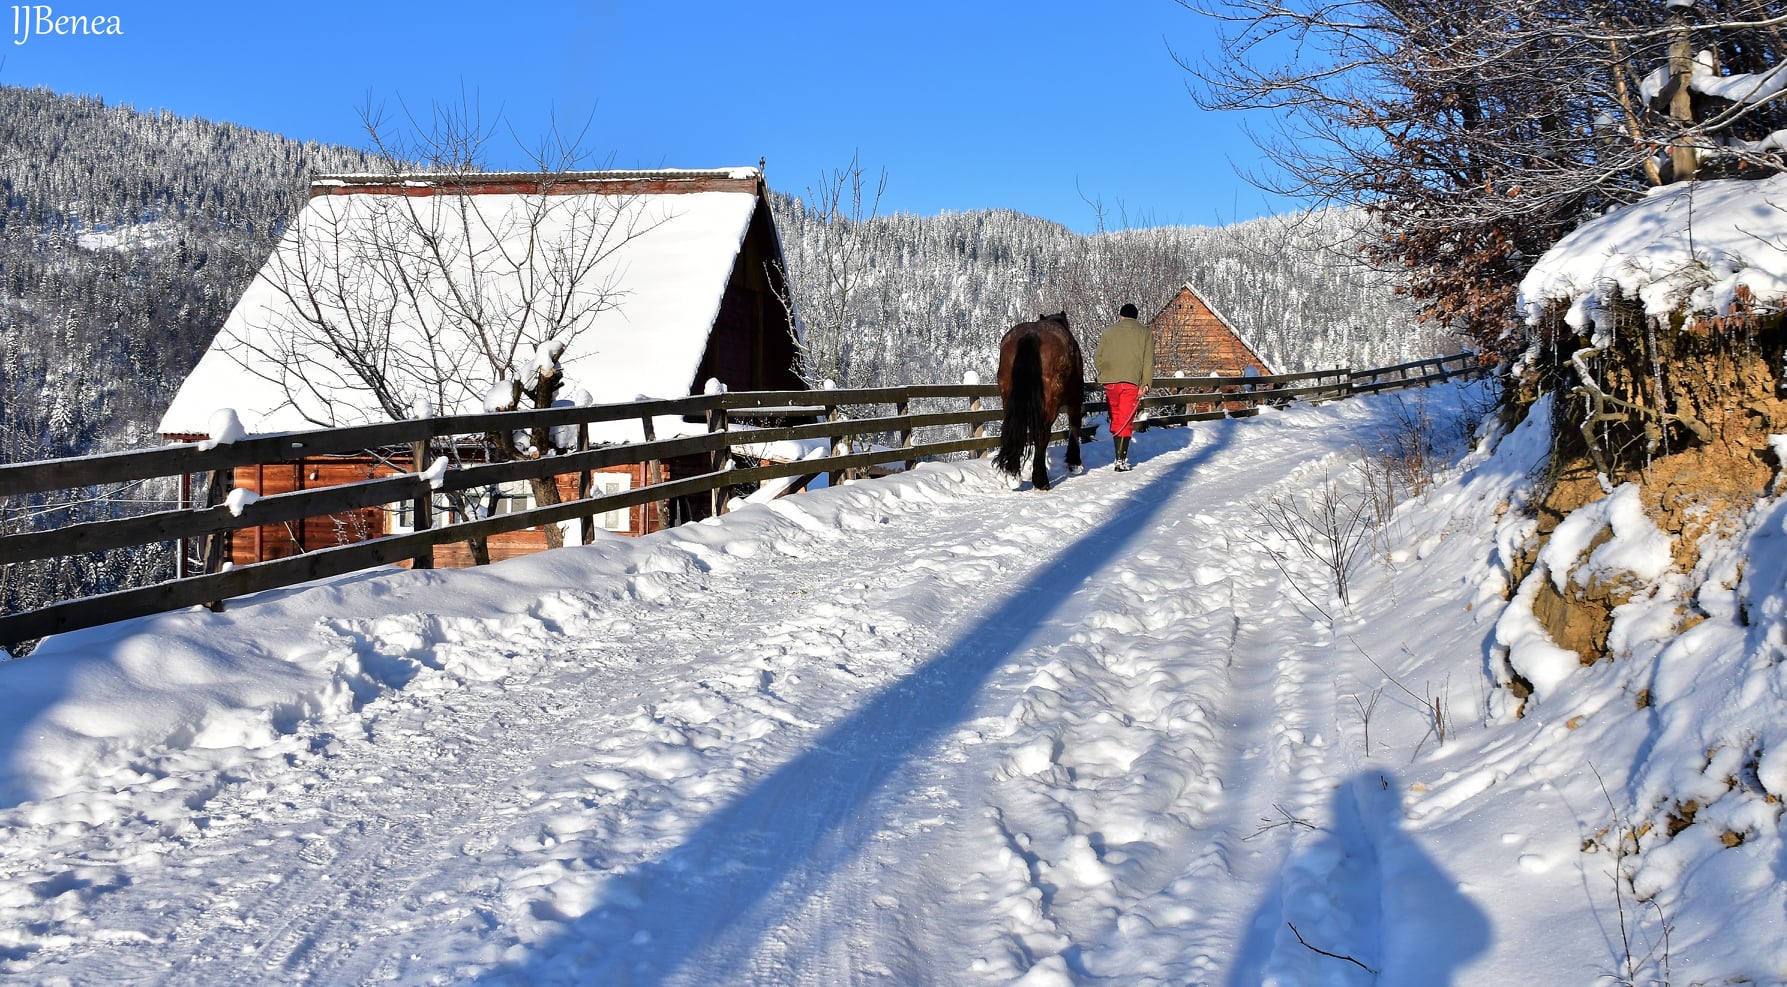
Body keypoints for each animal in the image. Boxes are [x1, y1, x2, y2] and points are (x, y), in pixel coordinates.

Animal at [1000, 312, 1079, 489]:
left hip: (1009, 399)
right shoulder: (1076, 397)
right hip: (1049, 404)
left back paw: (1013, 477)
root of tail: (1030, 335)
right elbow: (1075, 425)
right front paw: (1075, 463)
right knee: (1042, 434)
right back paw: (1041, 479)